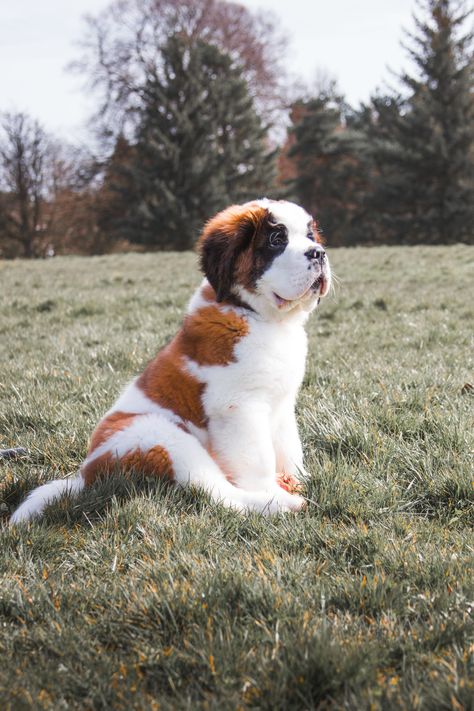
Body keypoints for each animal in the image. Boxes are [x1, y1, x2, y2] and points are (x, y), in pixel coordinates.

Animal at [10, 197, 330, 524]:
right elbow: (258, 461)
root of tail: (85, 475)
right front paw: (274, 490)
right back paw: (279, 505)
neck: (262, 317)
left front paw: (298, 479)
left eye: (310, 236)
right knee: (218, 494)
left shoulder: (282, 405)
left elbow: (289, 447)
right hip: (162, 436)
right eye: (277, 240)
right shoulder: (239, 408)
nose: (318, 253)